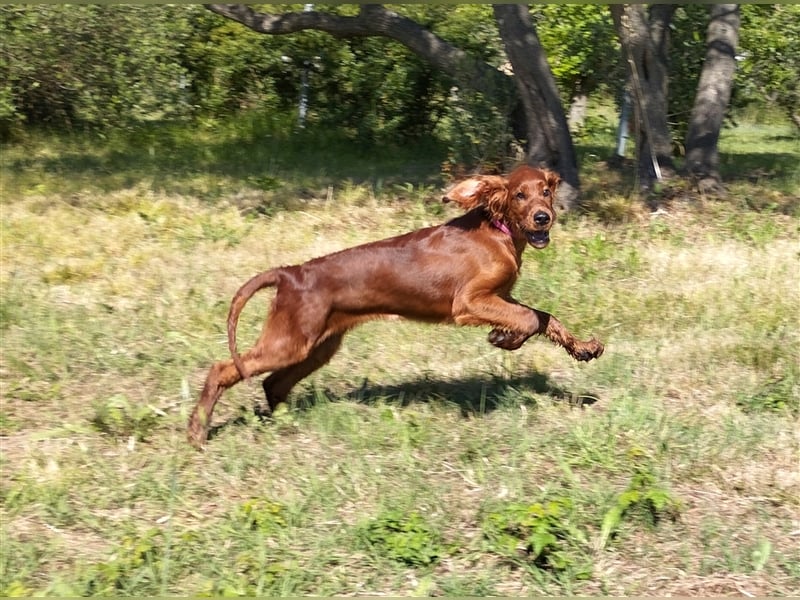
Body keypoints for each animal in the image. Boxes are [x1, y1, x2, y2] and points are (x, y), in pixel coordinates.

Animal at [186, 166, 600, 448]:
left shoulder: (500, 297)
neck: (497, 231)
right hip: (290, 342)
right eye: (519, 195)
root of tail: (290, 273)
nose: (543, 217)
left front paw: (582, 347)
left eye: (545, 192)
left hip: (316, 346)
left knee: (273, 382)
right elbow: (529, 318)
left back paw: (284, 421)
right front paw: (504, 338)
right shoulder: (469, 301)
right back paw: (197, 431)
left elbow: (544, 317)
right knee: (222, 369)